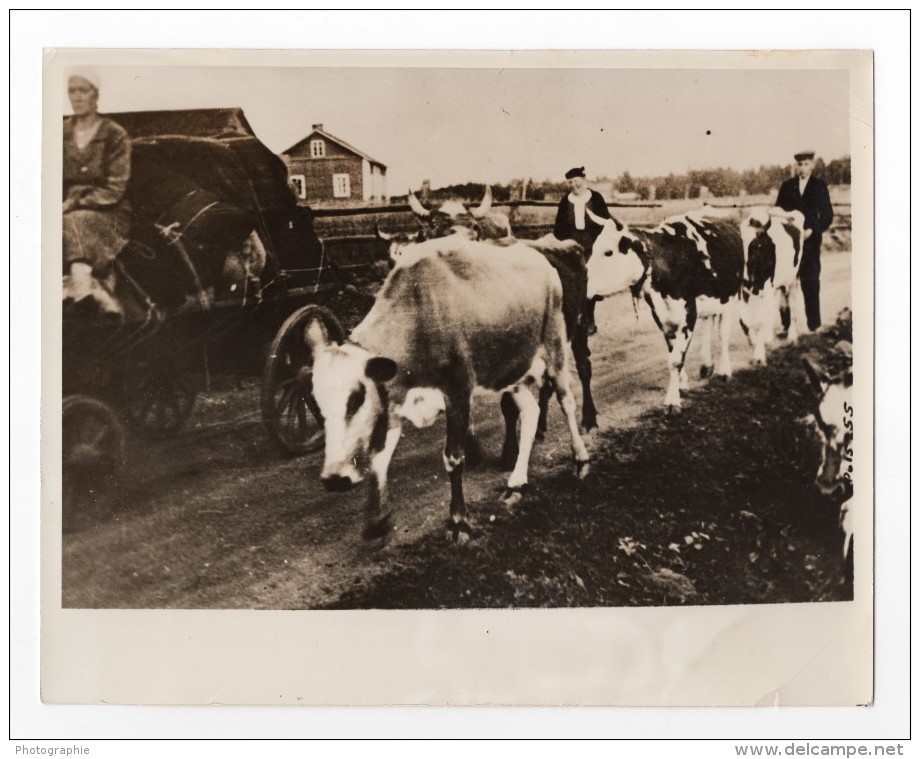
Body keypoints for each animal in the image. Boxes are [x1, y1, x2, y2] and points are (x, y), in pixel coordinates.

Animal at [302, 235, 588, 544]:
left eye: (356, 398)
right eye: (317, 404)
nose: (334, 479)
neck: (419, 318)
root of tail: (540, 257)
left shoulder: (457, 391)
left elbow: (453, 457)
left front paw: (459, 520)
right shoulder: (393, 401)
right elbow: (379, 458)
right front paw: (378, 520)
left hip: (555, 347)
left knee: (567, 401)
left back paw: (580, 458)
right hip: (513, 369)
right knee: (531, 411)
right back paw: (517, 480)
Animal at [588, 208, 748, 410]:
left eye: (608, 252)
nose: (583, 281)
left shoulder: (688, 313)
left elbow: (675, 359)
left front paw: (673, 400)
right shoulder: (662, 316)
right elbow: (673, 351)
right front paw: (681, 384)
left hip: (731, 296)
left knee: (723, 333)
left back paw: (724, 371)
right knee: (708, 322)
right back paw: (706, 366)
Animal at [740, 206, 804, 364]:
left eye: (756, 246)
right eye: (739, 244)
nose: (744, 275)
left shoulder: (767, 286)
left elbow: (760, 321)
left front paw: (759, 355)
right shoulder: (744, 288)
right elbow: (744, 319)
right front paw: (754, 340)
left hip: (793, 279)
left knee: (792, 305)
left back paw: (792, 337)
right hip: (776, 285)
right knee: (775, 305)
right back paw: (768, 337)